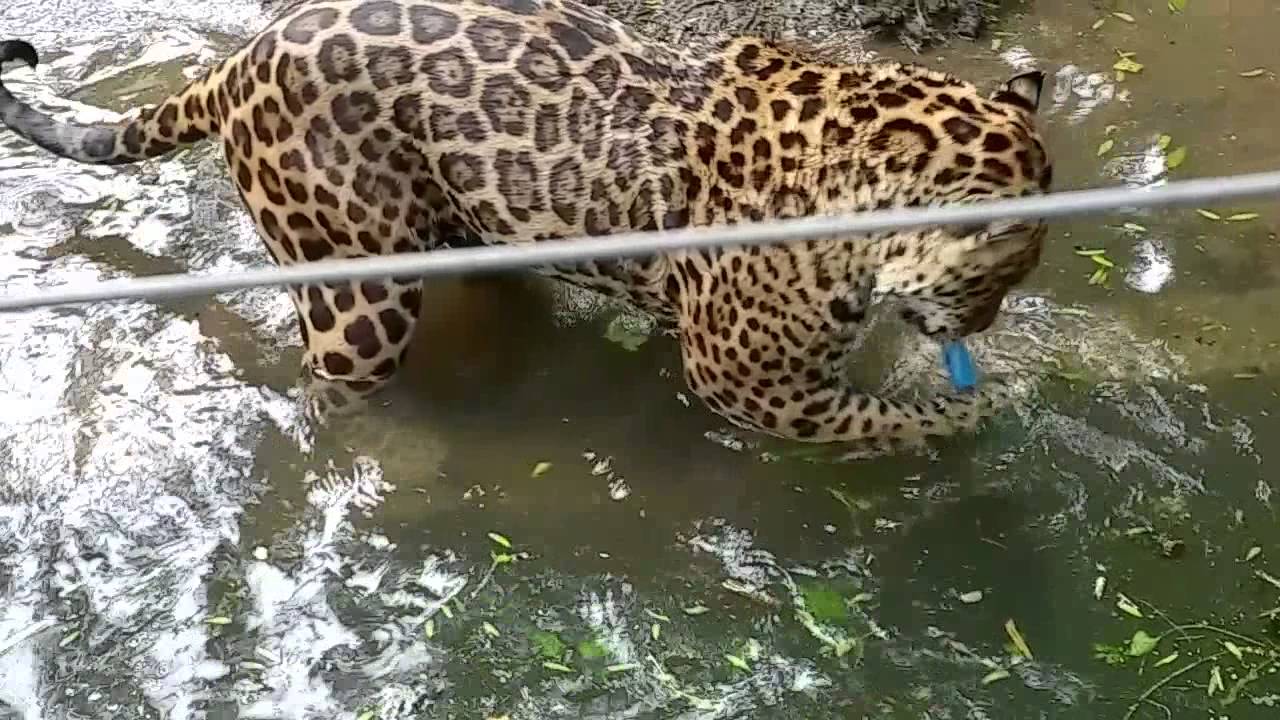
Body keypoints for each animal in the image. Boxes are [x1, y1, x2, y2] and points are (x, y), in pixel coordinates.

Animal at [0, 0, 1052, 449]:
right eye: (998, 278)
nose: (984, 325)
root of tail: (240, 57)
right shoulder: (753, 388)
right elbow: (883, 419)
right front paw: (976, 413)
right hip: (355, 293)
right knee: (330, 392)